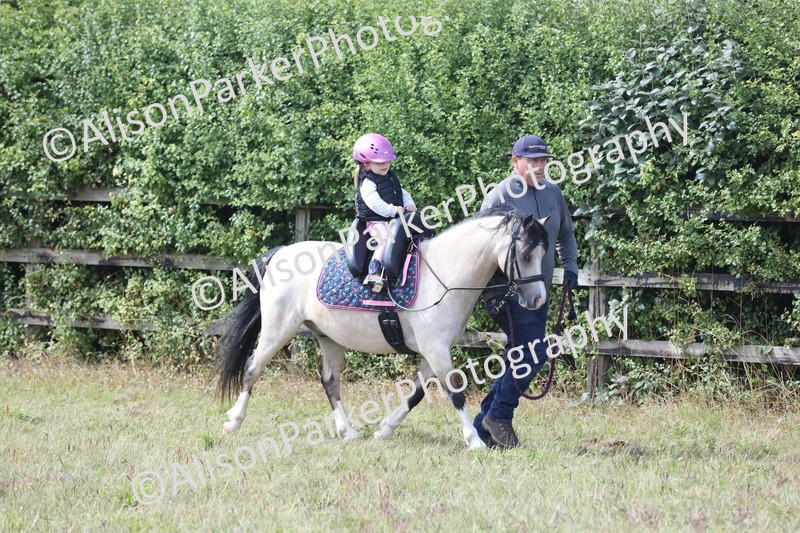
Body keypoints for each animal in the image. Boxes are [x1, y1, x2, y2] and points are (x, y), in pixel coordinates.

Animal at [216, 206, 549, 450]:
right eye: (526, 255)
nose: (537, 299)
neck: (445, 275)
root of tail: (282, 253)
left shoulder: (433, 352)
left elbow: (415, 394)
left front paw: (385, 429)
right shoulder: (436, 350)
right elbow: (455, 391)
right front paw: (474, 441)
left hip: (328, 337)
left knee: (329, 381)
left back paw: (348, 431)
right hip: (279, 329)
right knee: (253, 368)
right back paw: (234, 421)